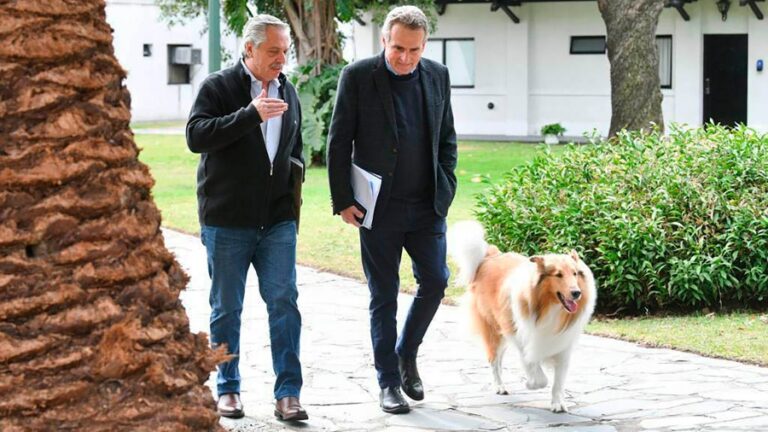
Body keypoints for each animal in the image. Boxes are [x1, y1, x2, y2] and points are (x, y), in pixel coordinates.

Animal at [448, 221, 596, 414]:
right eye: (558, 275)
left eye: (575, 273)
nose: (577, 293)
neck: (550, 307)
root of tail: (490, 257)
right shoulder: (522, 337)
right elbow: (539, 376)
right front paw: (530, 384)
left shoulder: (563, 346)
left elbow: (558, 381)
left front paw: (557, 403)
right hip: (494, 328)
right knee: (493, 359)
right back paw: (499, 386)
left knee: (499, 359)